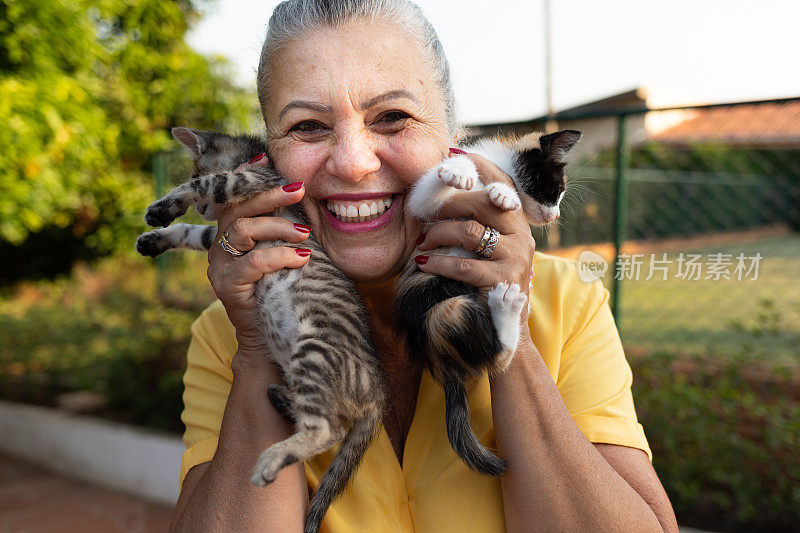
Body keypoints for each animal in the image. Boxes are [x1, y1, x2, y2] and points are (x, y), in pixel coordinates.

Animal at [396, 128, 584, 474]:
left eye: (561, 194)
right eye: (554, 189)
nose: (554, 215)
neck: (501, 167)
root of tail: (444, 367)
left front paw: (503, 194)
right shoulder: (424, 214)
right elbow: (426, 194)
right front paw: (461, 171)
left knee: (499, 358)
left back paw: (507, 304)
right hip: (446, 312)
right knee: (496, 358)